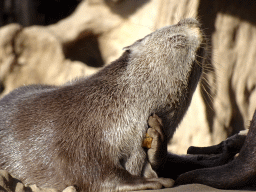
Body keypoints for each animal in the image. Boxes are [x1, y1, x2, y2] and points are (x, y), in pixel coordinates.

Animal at [0, 17, 207, 190]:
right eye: (177, 38)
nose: (190, 21)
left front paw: (158, 139)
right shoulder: (79, 143)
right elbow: (93, 174)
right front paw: (148, 182)